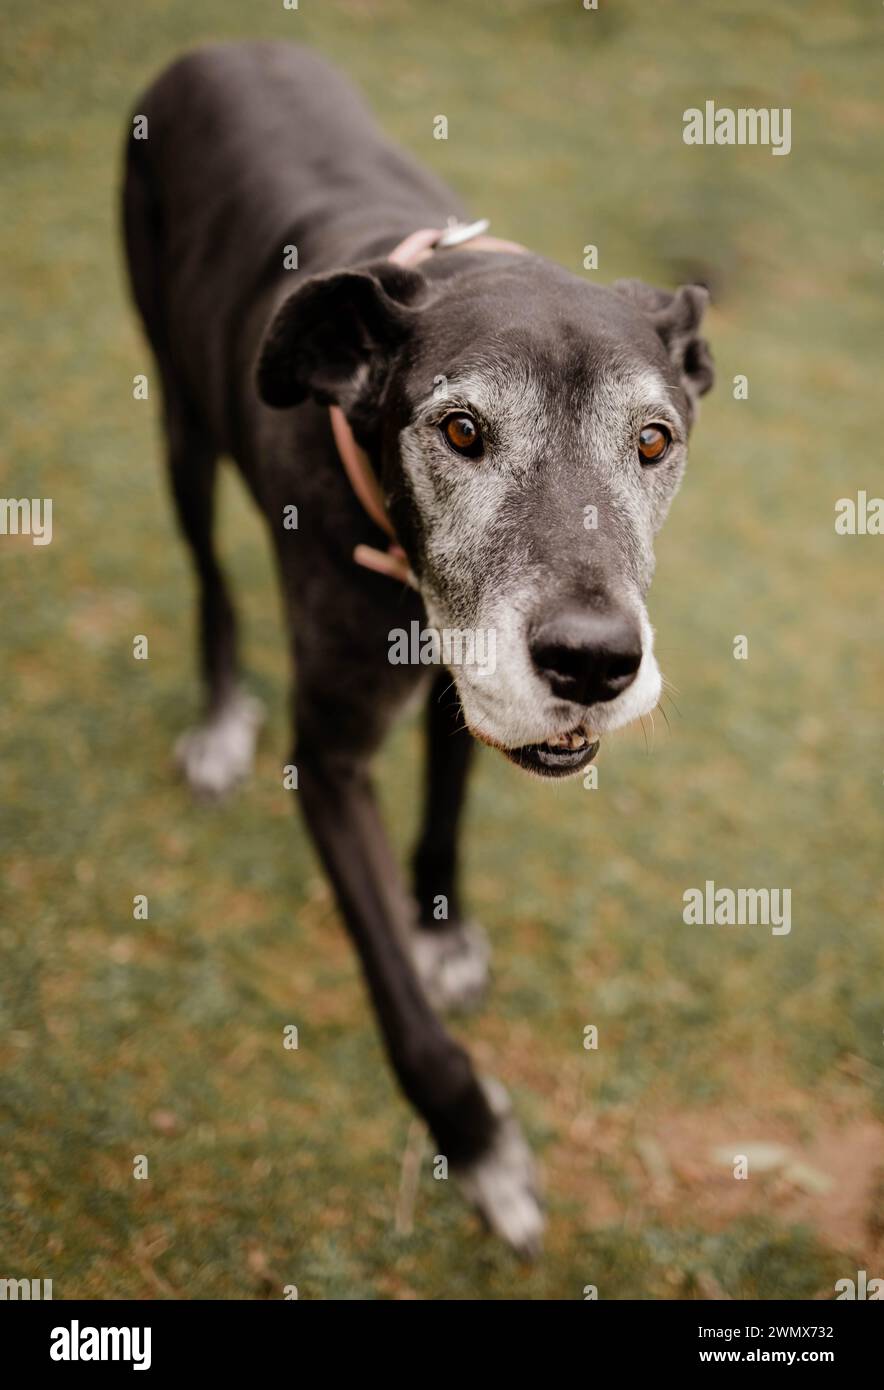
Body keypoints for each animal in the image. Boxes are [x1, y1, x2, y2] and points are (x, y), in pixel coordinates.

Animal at [122, 40, 711, 1262]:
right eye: (459, 430)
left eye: (652, 441)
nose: (593, 663)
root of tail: (208, 49)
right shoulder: (330, 761)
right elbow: (397, 1003)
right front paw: (479, 1146)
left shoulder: (464, 667)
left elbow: (449, 794)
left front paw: (441, 922)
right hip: (181, 421)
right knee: (208, 579)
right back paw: (216, 720)